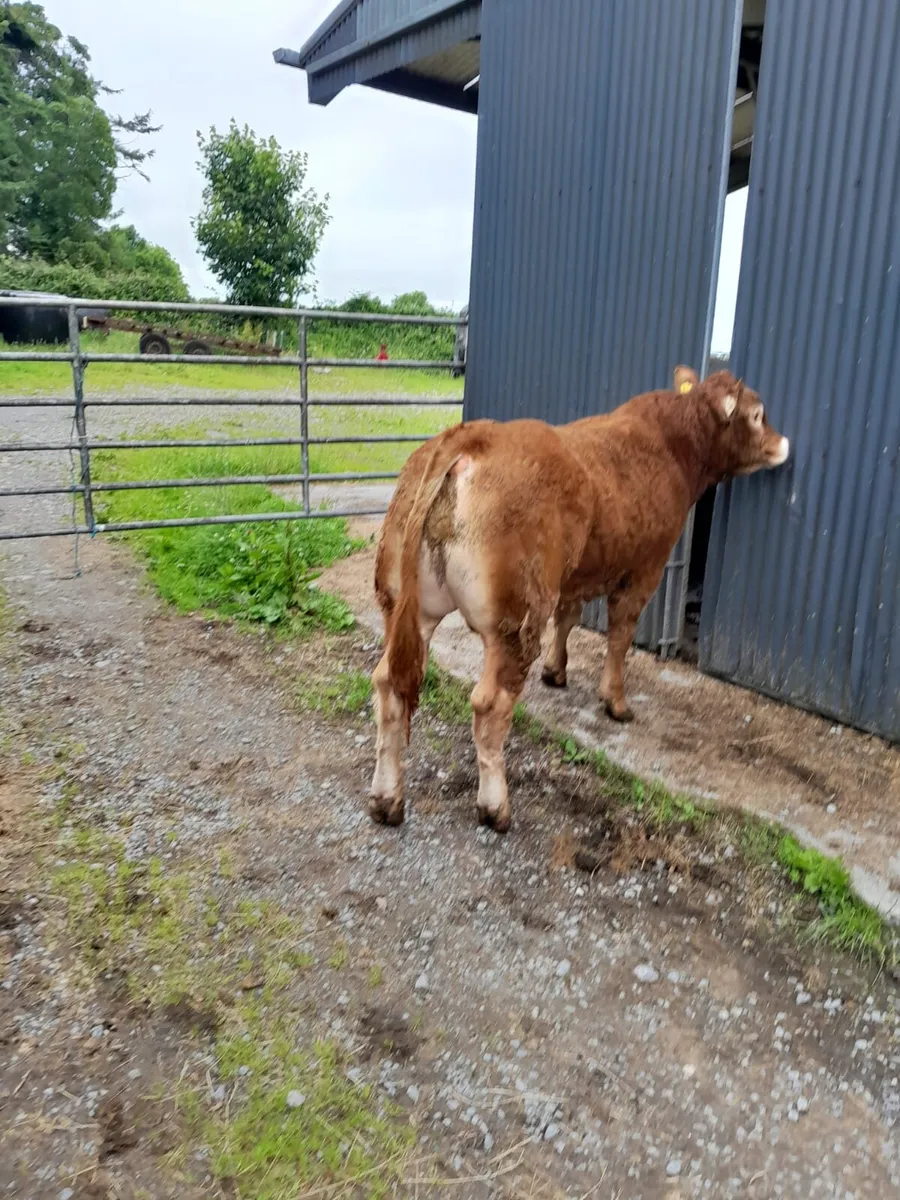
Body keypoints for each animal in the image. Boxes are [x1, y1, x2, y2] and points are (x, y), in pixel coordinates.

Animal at [370, 367, 789, 833]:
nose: (783, 443)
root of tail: (472, 436)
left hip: (404, 604)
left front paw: (556, 671)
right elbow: (620, 636)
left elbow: (568, 617)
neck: (671, 447)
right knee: (490, 705)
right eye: (758, 414)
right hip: (515, 620)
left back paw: (387, 800)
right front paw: (616, 701)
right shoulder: (645, 568)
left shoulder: (577, 573)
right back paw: (496, 808)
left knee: (389, 686)